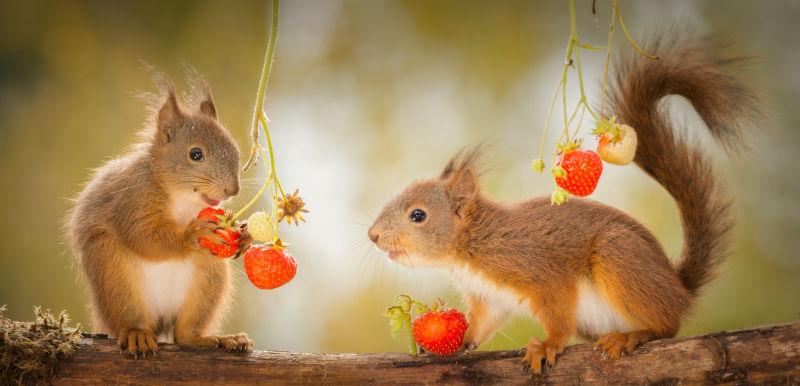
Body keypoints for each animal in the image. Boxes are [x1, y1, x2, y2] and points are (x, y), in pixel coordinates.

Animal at [67, 71, 253, 358]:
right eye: (195, 154)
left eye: (235, 150)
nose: (232, 189)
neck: (182, 197)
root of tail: (161, 319)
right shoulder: (133, 200)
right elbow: (144, 236)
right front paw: (193, 234)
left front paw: (245, 236)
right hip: (113, 272)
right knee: (133, 320)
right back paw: (137, 335)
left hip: (210, 277)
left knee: (183, 334)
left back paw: (217, 339)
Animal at [366, 34, 760, 374]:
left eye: (418, 215)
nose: (372, 236)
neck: (473, 249)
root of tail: (678, 289)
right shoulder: (489, 298)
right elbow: (483, 324)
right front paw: (460, 343)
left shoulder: (541, 273)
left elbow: (557, 317)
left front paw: (547, 346)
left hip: (619, 259)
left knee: (667, 324)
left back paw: (632, 335)